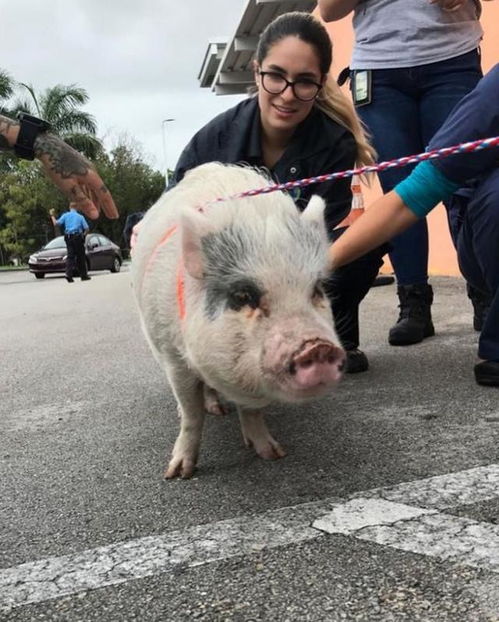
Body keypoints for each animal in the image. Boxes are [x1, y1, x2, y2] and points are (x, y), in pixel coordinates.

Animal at [131, 163, 346, 480]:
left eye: (317, 289)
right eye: (243, 295)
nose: (317, 346)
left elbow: (252, 411)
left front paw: (273, 454)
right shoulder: (172, 355)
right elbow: (192, 414)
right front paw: (178, 474)